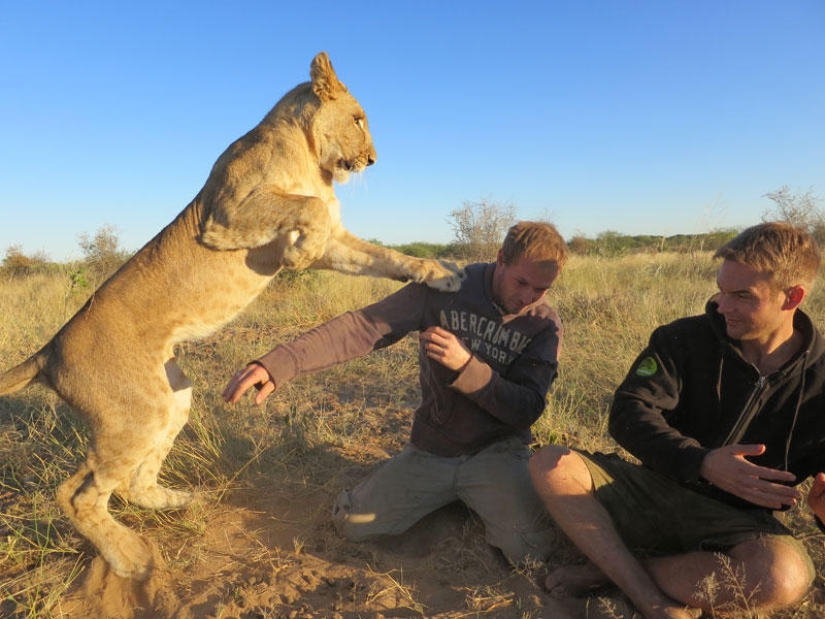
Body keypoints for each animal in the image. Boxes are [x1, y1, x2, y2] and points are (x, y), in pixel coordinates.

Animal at [0, 52, 464, 580]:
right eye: (359, 118)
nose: (372, 161)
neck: (310, 156)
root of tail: (49, 350)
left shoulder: (335, 242)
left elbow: (383, 256)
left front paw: (442, 273)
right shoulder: (225, 212)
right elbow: (308, 208)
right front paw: (298, 256)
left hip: (169, 396)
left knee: (127, 483)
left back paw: (180, 501)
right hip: (136, 413)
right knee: (75, 495)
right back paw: (131, 557)